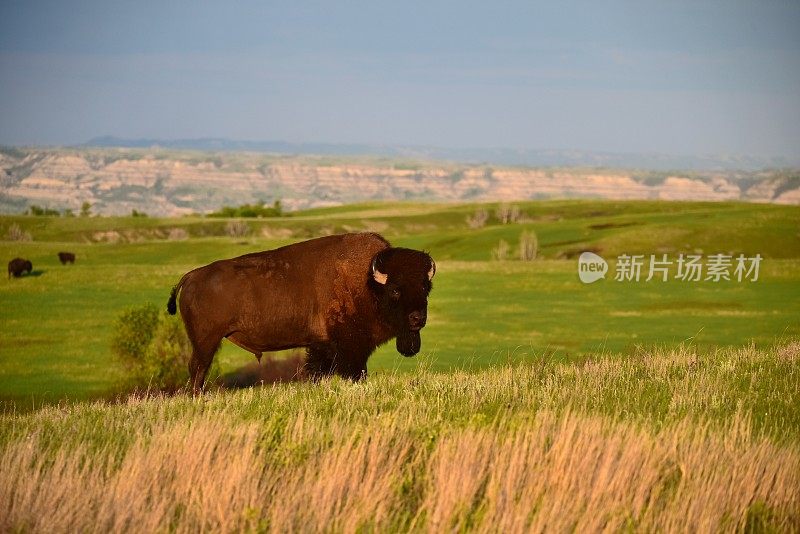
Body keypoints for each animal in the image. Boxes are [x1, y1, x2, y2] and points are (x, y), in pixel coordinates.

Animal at [165, 233, 434, 394]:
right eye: (396, 289)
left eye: (425, 287)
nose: (418, 318)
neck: (368, 282)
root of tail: (192, 276)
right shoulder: (350, 346)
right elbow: (354, 371)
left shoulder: (322, 345)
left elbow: (318, 370)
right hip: (206, 341)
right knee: (198, 368)